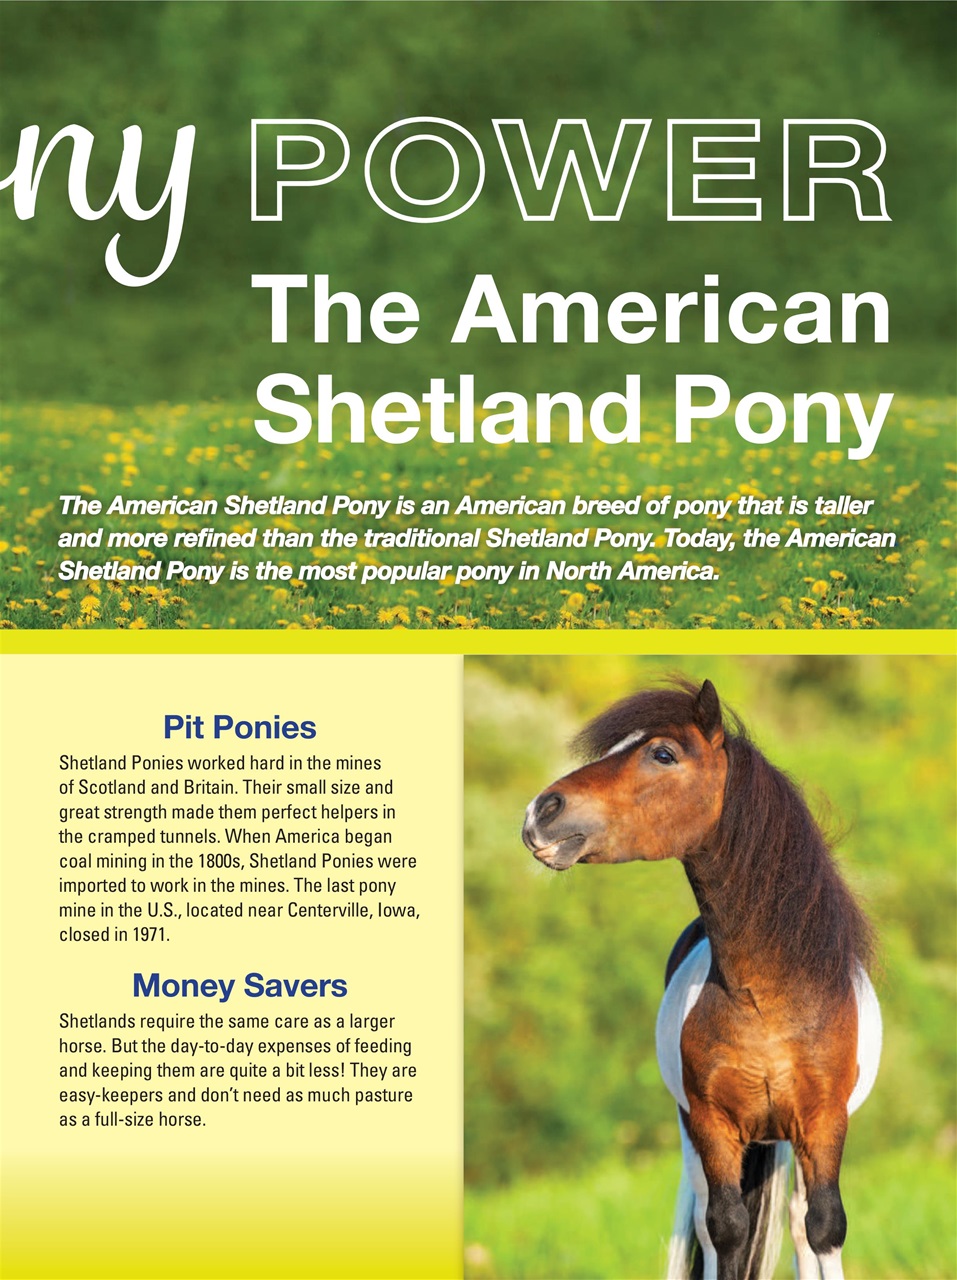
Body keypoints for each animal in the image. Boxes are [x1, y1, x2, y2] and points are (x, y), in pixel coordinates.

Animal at [521, 679, 881, 1280]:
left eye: (663, 753)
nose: (540, 812)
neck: (767, 997)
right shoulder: (712, 1125)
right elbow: (724, 1230)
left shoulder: (824, 1121)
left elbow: (825, 1228)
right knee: (710, 1229)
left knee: (801, 1225)